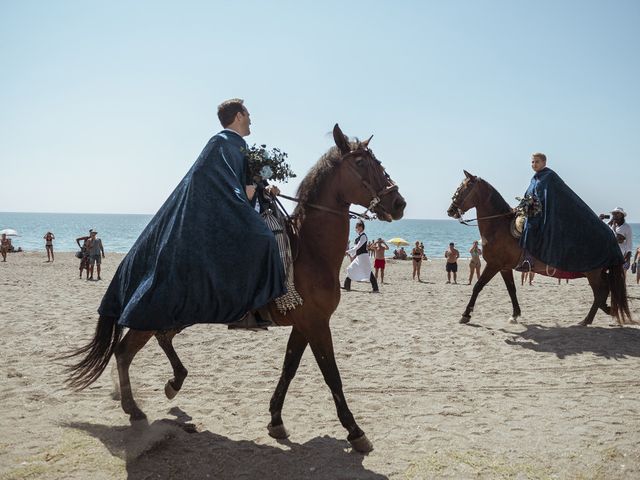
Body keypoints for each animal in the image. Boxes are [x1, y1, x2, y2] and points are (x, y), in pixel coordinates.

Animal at [63, 124, 404, 454]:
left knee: (160, 338)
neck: (309, 250)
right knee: (124, 351)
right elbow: (332, 376)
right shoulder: (317, 324)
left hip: (179, 314)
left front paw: (276, 420)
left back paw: (173, 383)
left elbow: (289, 369)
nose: (399, 203)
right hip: (154, 313)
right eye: (361, 163)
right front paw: (355, 432)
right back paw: (134, 408)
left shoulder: (304, 325)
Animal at [448, 172, 632, 326]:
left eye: (464, 188)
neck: (499, 226)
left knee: (600, 293)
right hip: (598, 271)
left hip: (593, 273)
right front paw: (515, 314)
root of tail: (611, 236)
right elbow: (511, 290)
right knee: (606, 290)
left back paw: (590, 318)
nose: (451, 210)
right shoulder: (505, 268)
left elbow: (478, 286)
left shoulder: (494, 265)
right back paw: (604, 312)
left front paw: (466, 314)